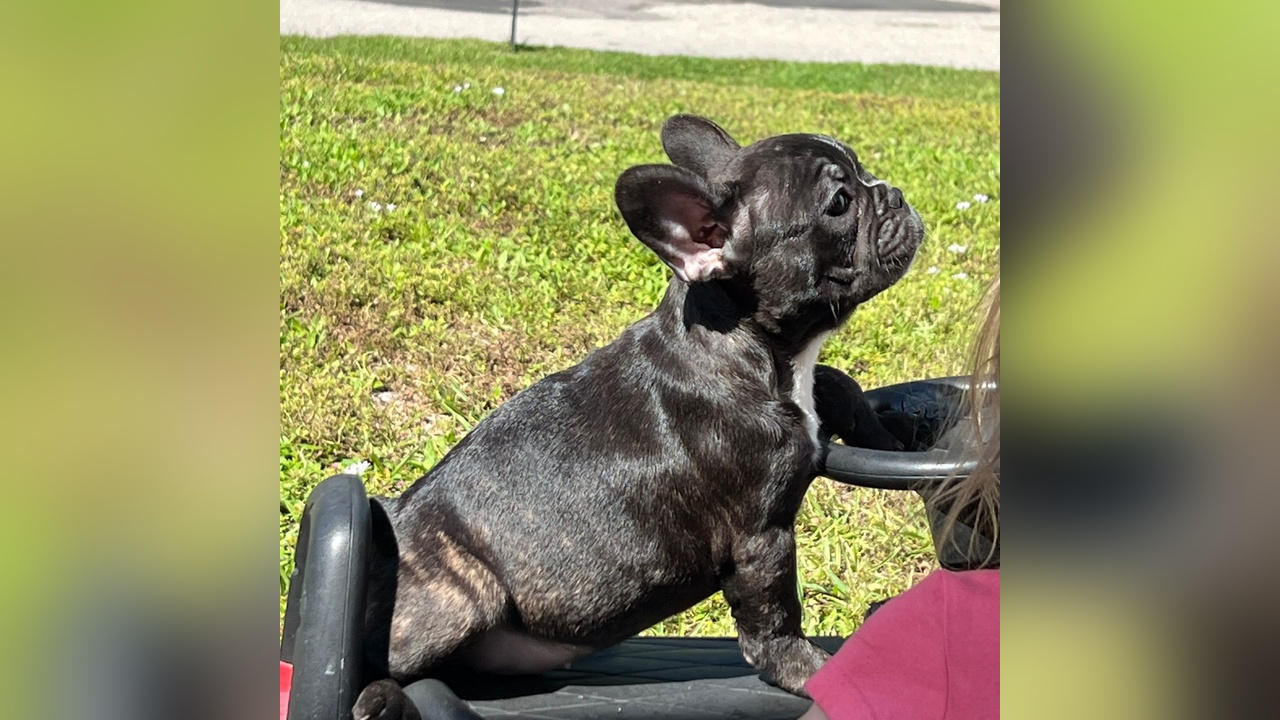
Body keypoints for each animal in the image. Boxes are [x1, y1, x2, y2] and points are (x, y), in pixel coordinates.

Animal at [352, 115, 923, 719]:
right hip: (462, 594)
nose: (892, 193)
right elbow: (773, 616)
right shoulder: (760, 536)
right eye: (839, 203)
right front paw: (809, 669)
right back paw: (382, 699)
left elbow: (837, 380)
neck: (748, 348)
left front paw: (892, 431)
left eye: (862, 171)